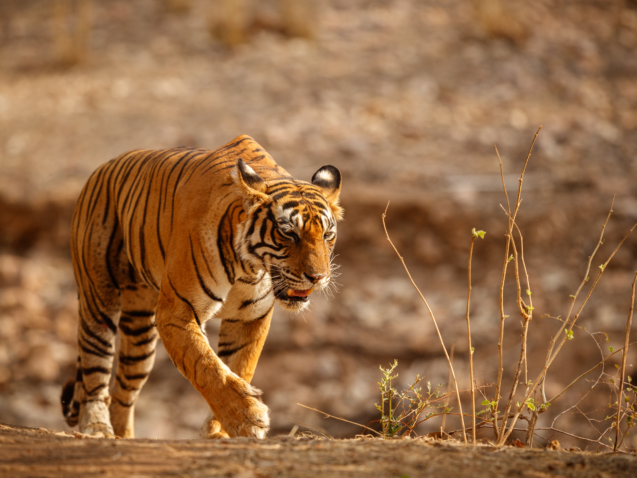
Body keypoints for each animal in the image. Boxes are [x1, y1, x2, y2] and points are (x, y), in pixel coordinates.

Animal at [60, 134, 342, 436]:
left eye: (327, 234)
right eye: (288, 233)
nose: (318, 277)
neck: (249, 268)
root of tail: (102, 169)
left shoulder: (250, 318)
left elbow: (239, 366)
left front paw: (220, 431)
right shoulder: (177, 312)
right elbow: (206, 365)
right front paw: (247, 417)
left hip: (140, 330)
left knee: (123, 392)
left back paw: (123, 436)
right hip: (99, 300)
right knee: (95, 369)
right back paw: (96, 428)